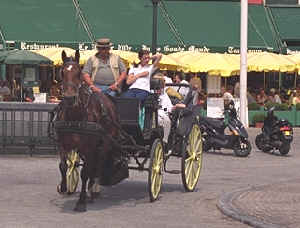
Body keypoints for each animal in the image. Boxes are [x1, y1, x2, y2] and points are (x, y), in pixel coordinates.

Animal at [53, 50, 125, 212]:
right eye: (62, 72)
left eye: (79, 72)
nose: (69, 98)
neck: (75, 115)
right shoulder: (63, 144)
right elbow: (63, 166)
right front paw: (64, 186)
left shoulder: (89, 146)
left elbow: (85, 173)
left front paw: (81, 201)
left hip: (104, 144)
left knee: (98, 164)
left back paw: (93, 189)